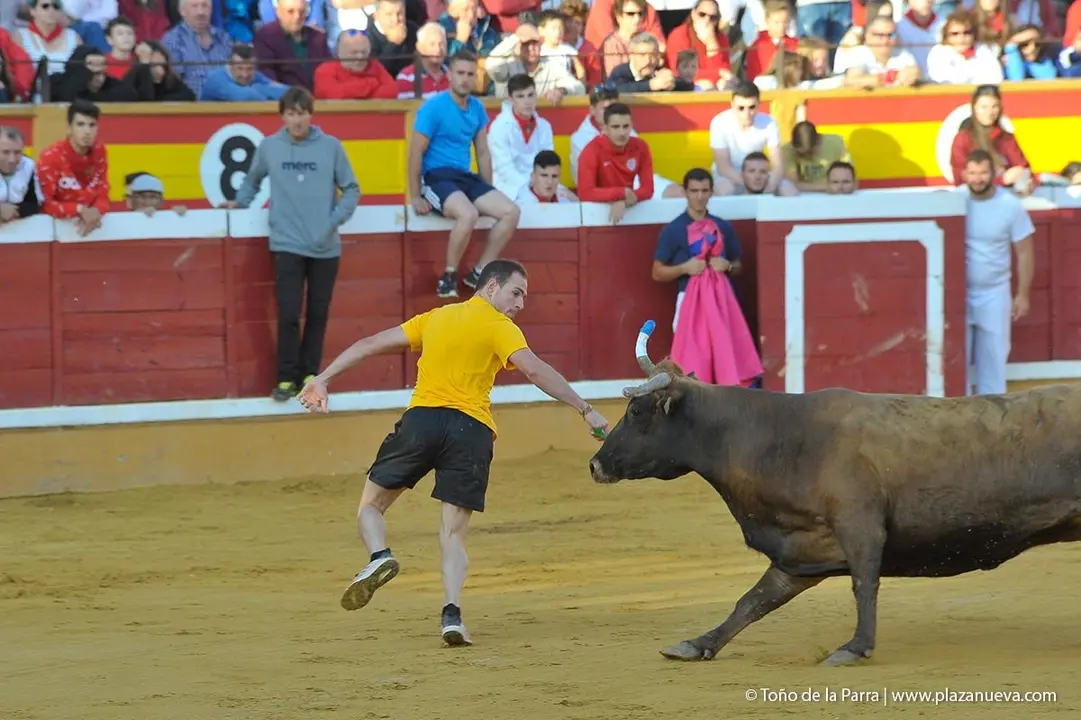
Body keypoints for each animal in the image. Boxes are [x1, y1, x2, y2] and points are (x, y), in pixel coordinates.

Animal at [588, 320, 1081, 666]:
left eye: (636, 411)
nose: (594, 464)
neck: (777, 436)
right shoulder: (801, 549)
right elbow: (753, 601)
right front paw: (697, 644)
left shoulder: (860, 526)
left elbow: (864, 584)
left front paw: (856, 648)